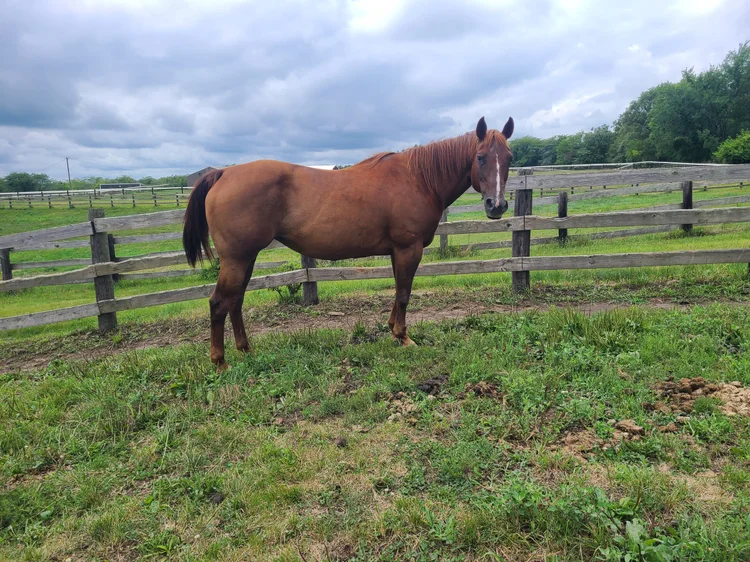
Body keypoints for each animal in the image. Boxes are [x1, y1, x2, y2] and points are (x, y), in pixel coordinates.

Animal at [183, 116, 514, 370]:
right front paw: (404, 337)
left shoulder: (397, 252)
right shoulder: (409, 249)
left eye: (509, 158)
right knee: (219, 303)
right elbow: (404, 294)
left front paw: (393, 330)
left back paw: (246, 350)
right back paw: (220, 362)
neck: (418, 179)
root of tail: (223, 173)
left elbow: (398, 292)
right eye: (480, 157)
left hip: (246, 257)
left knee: (235, 301)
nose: (496, 206)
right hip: (237, 258)